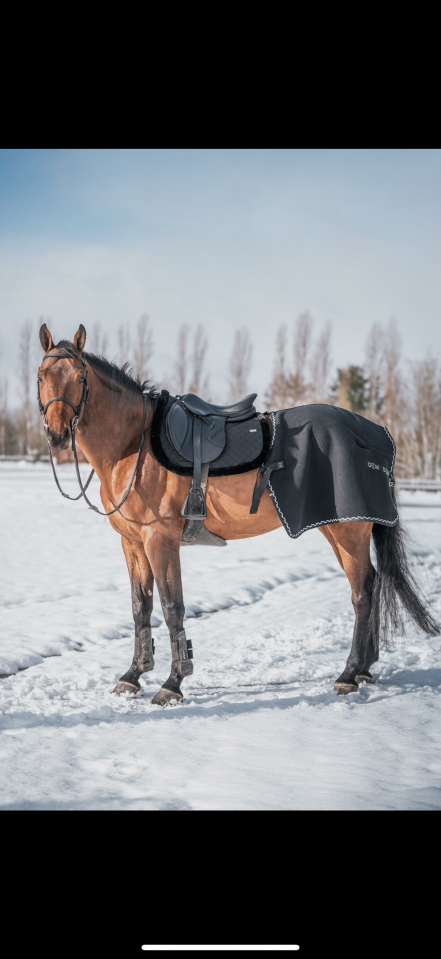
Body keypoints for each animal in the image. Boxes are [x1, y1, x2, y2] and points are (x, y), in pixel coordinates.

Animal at [37, 323, 439, 705]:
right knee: (371, 583)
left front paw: (173, 683)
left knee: (361, 594)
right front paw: (133, 675)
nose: (56, 435)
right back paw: (365, 670)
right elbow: (140, 608)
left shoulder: (160, 539)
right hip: (335, 530)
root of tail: (375, 433)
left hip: (348, 533)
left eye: (81, 378)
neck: (133, 446)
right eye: (41, 376)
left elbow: (171, 607)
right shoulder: (132, 542)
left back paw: (349, 674)